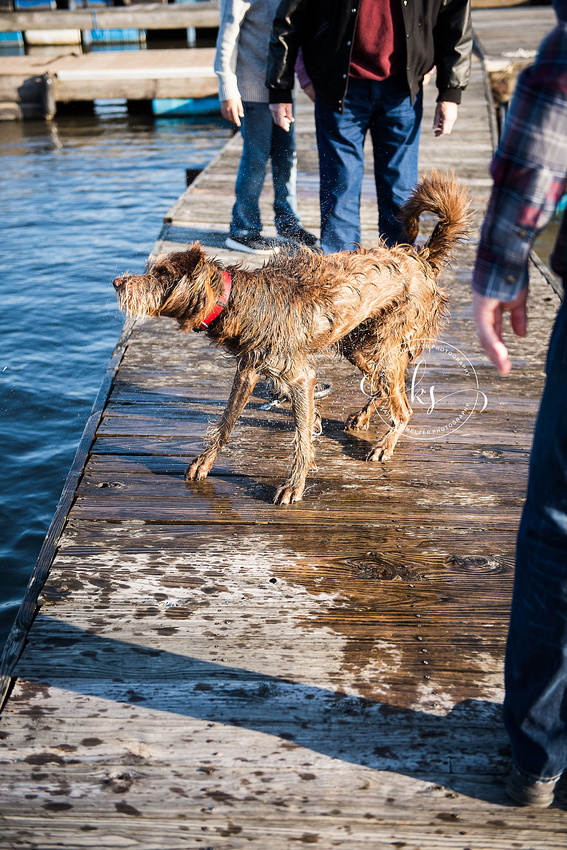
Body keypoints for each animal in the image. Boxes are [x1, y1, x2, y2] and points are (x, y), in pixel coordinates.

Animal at [114, 173, 470, 504]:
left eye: (161, 275)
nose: (118, 282)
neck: (236, 299)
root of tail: (420, 257)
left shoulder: (301, 375)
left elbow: (300, 437)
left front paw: (294, 484)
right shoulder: (247, 370)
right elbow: (228, 421)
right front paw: (205, 461)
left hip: (387, 343)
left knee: (404, 408)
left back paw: (385, 444)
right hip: (357, 345)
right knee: (383, 386)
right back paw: (364, 415)